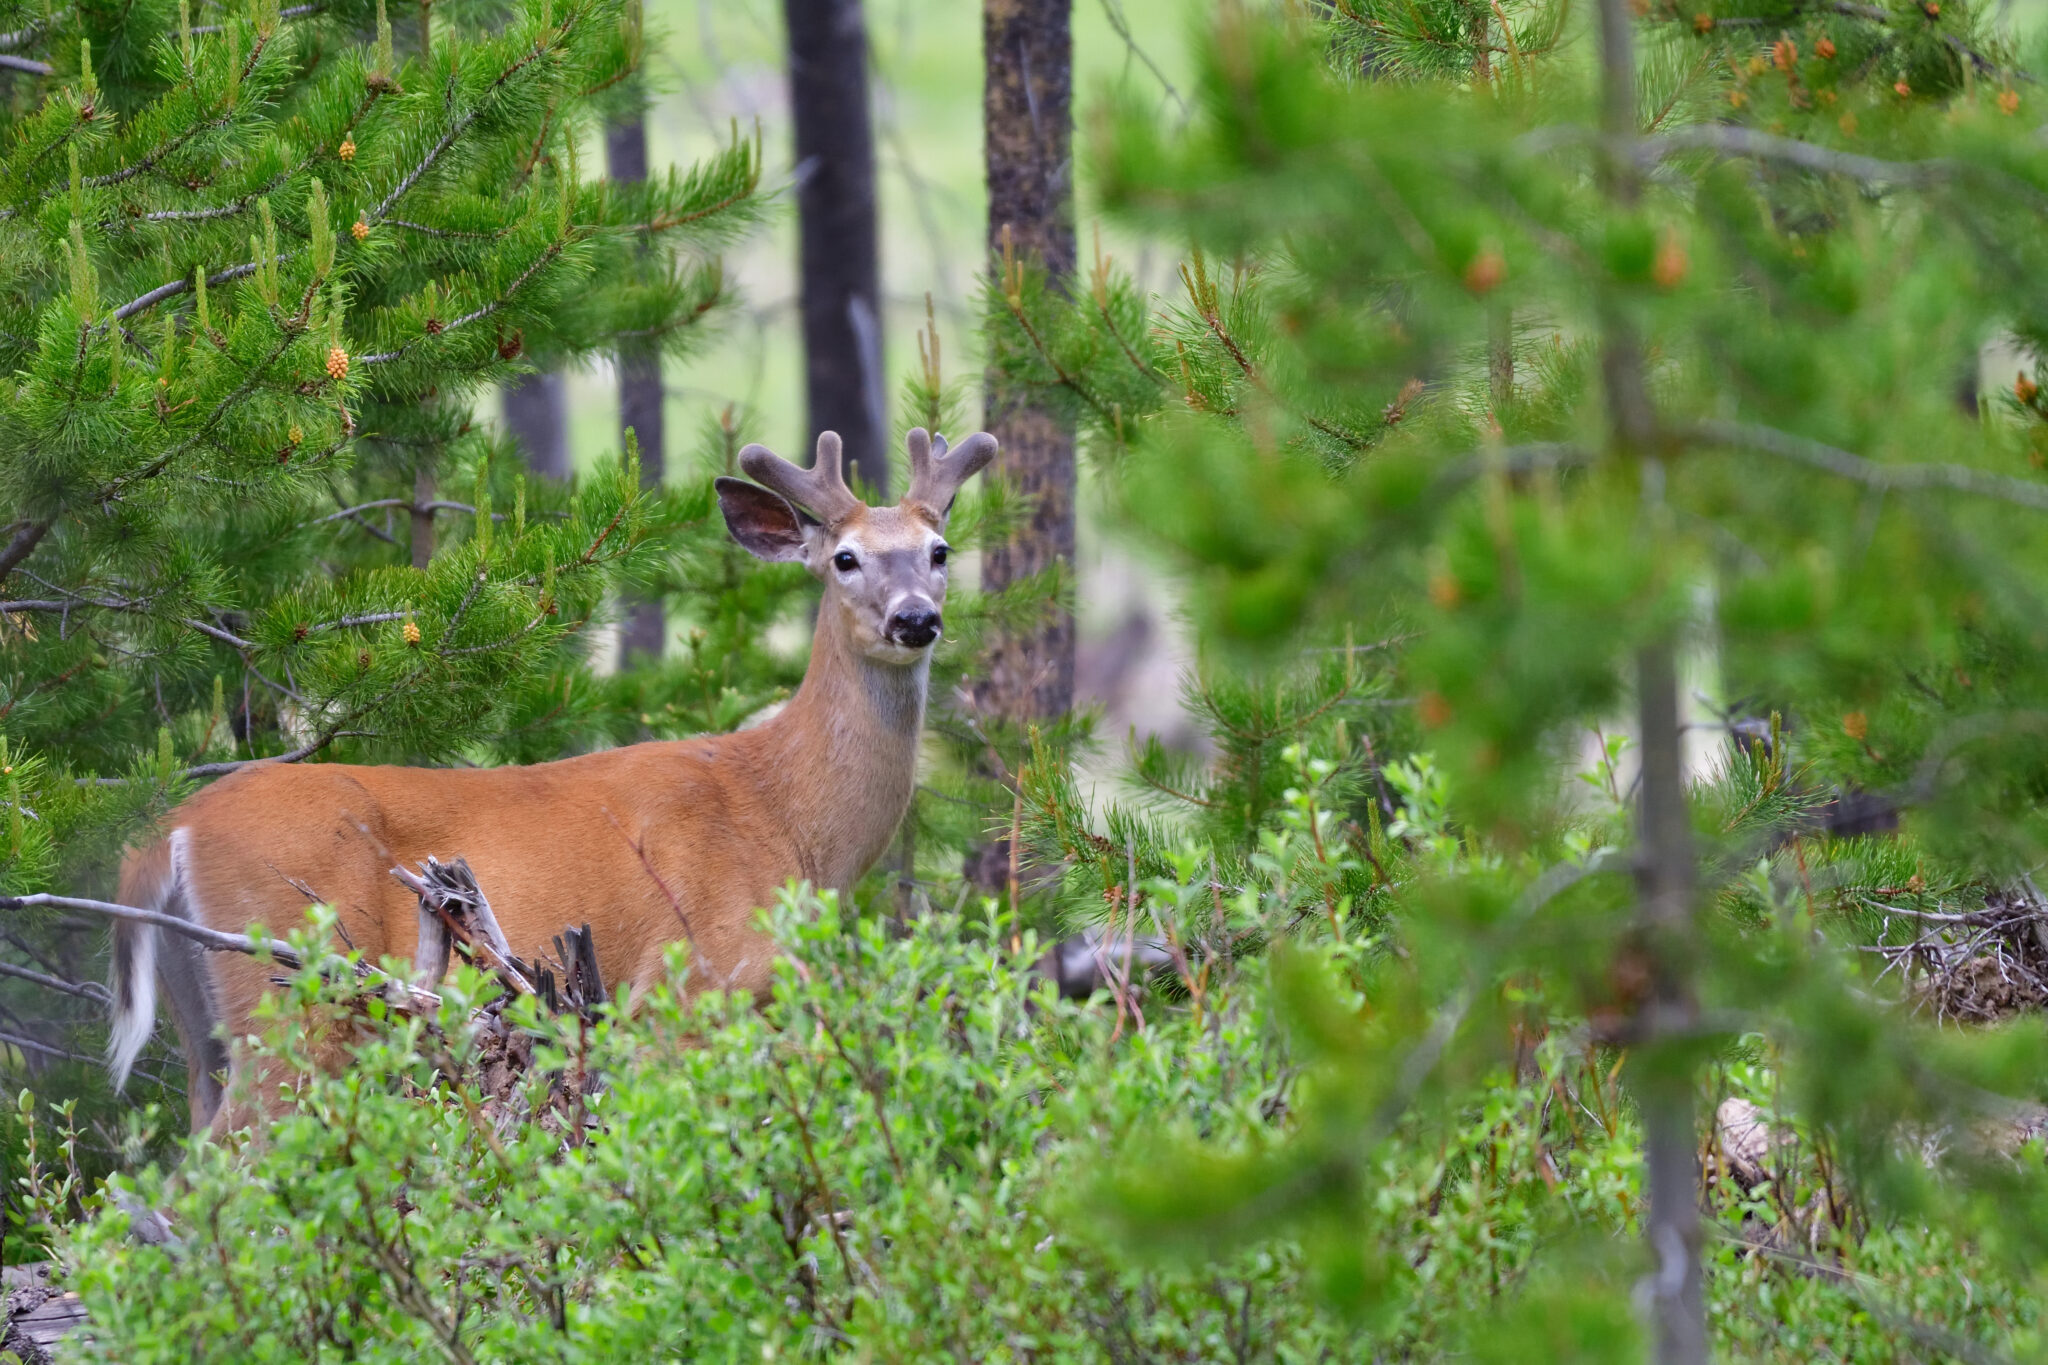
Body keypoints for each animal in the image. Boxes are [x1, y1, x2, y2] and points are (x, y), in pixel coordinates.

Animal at [108, 427, 995, 1129]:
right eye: (844, 558)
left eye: (939, 551)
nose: (916, 617)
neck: (786, 817)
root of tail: (166, 835)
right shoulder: (686, 982)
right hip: (295, 990)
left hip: (208, 1025)